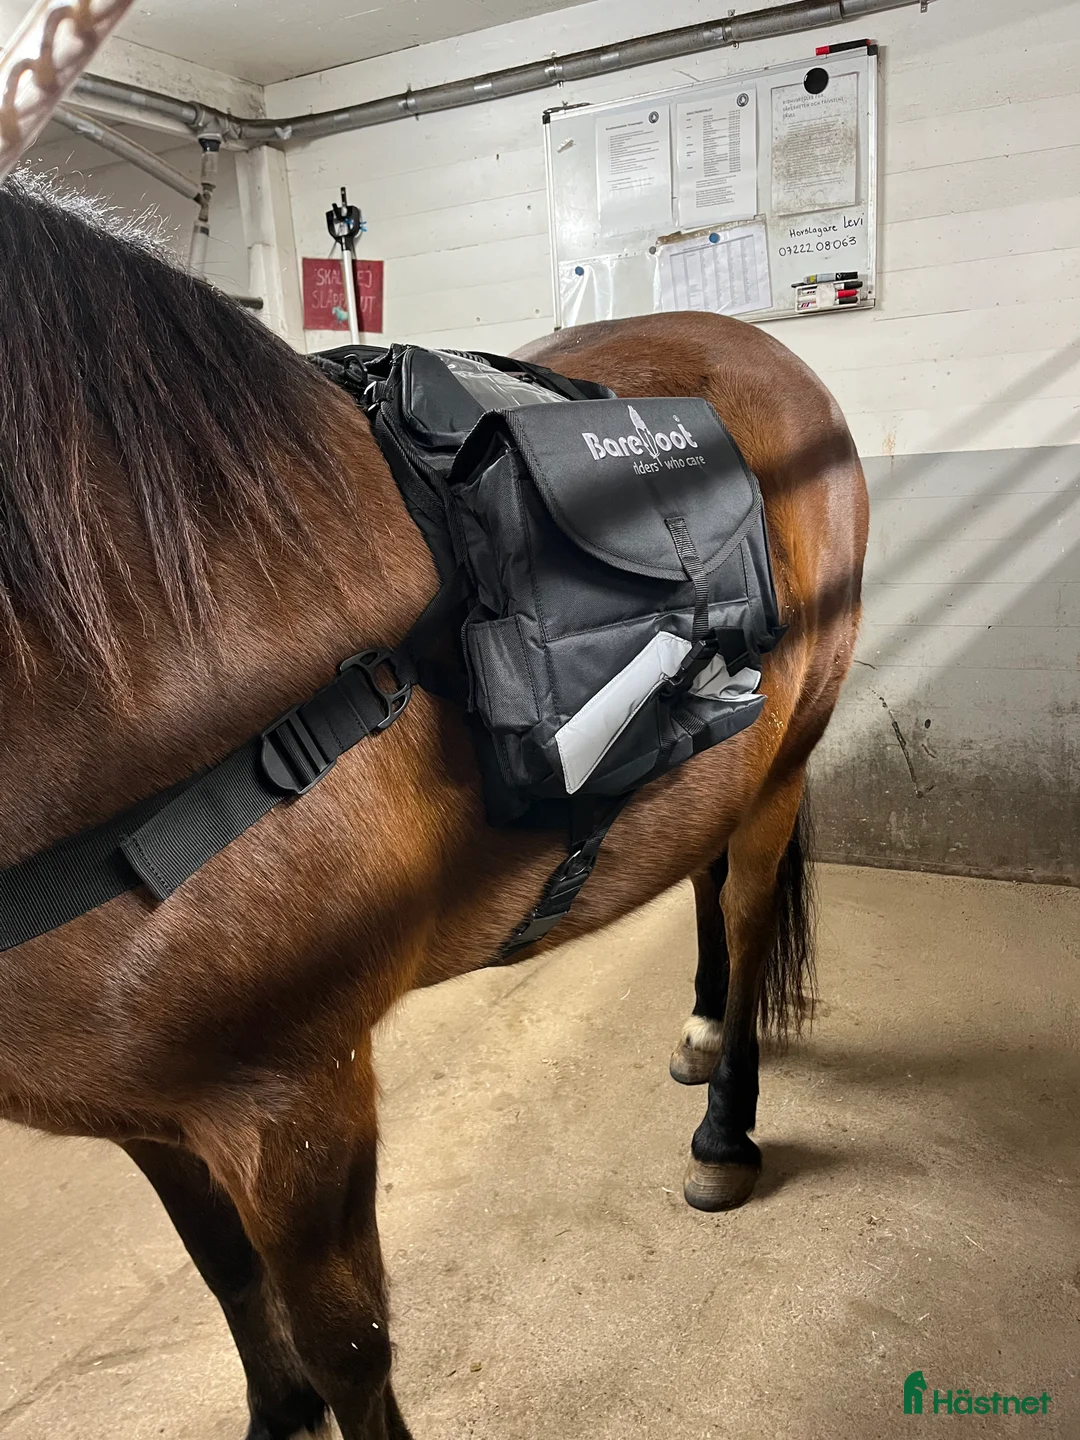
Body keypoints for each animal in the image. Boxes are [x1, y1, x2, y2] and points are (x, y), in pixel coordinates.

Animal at [0, 172, 867, 1440]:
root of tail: (764, 352)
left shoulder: (293, 1104)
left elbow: (350, 1348)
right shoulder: (142, 1114)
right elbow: (228, 1281)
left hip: (785, 762)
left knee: (750, 916)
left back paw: (726, 1127)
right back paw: (707, 1029)